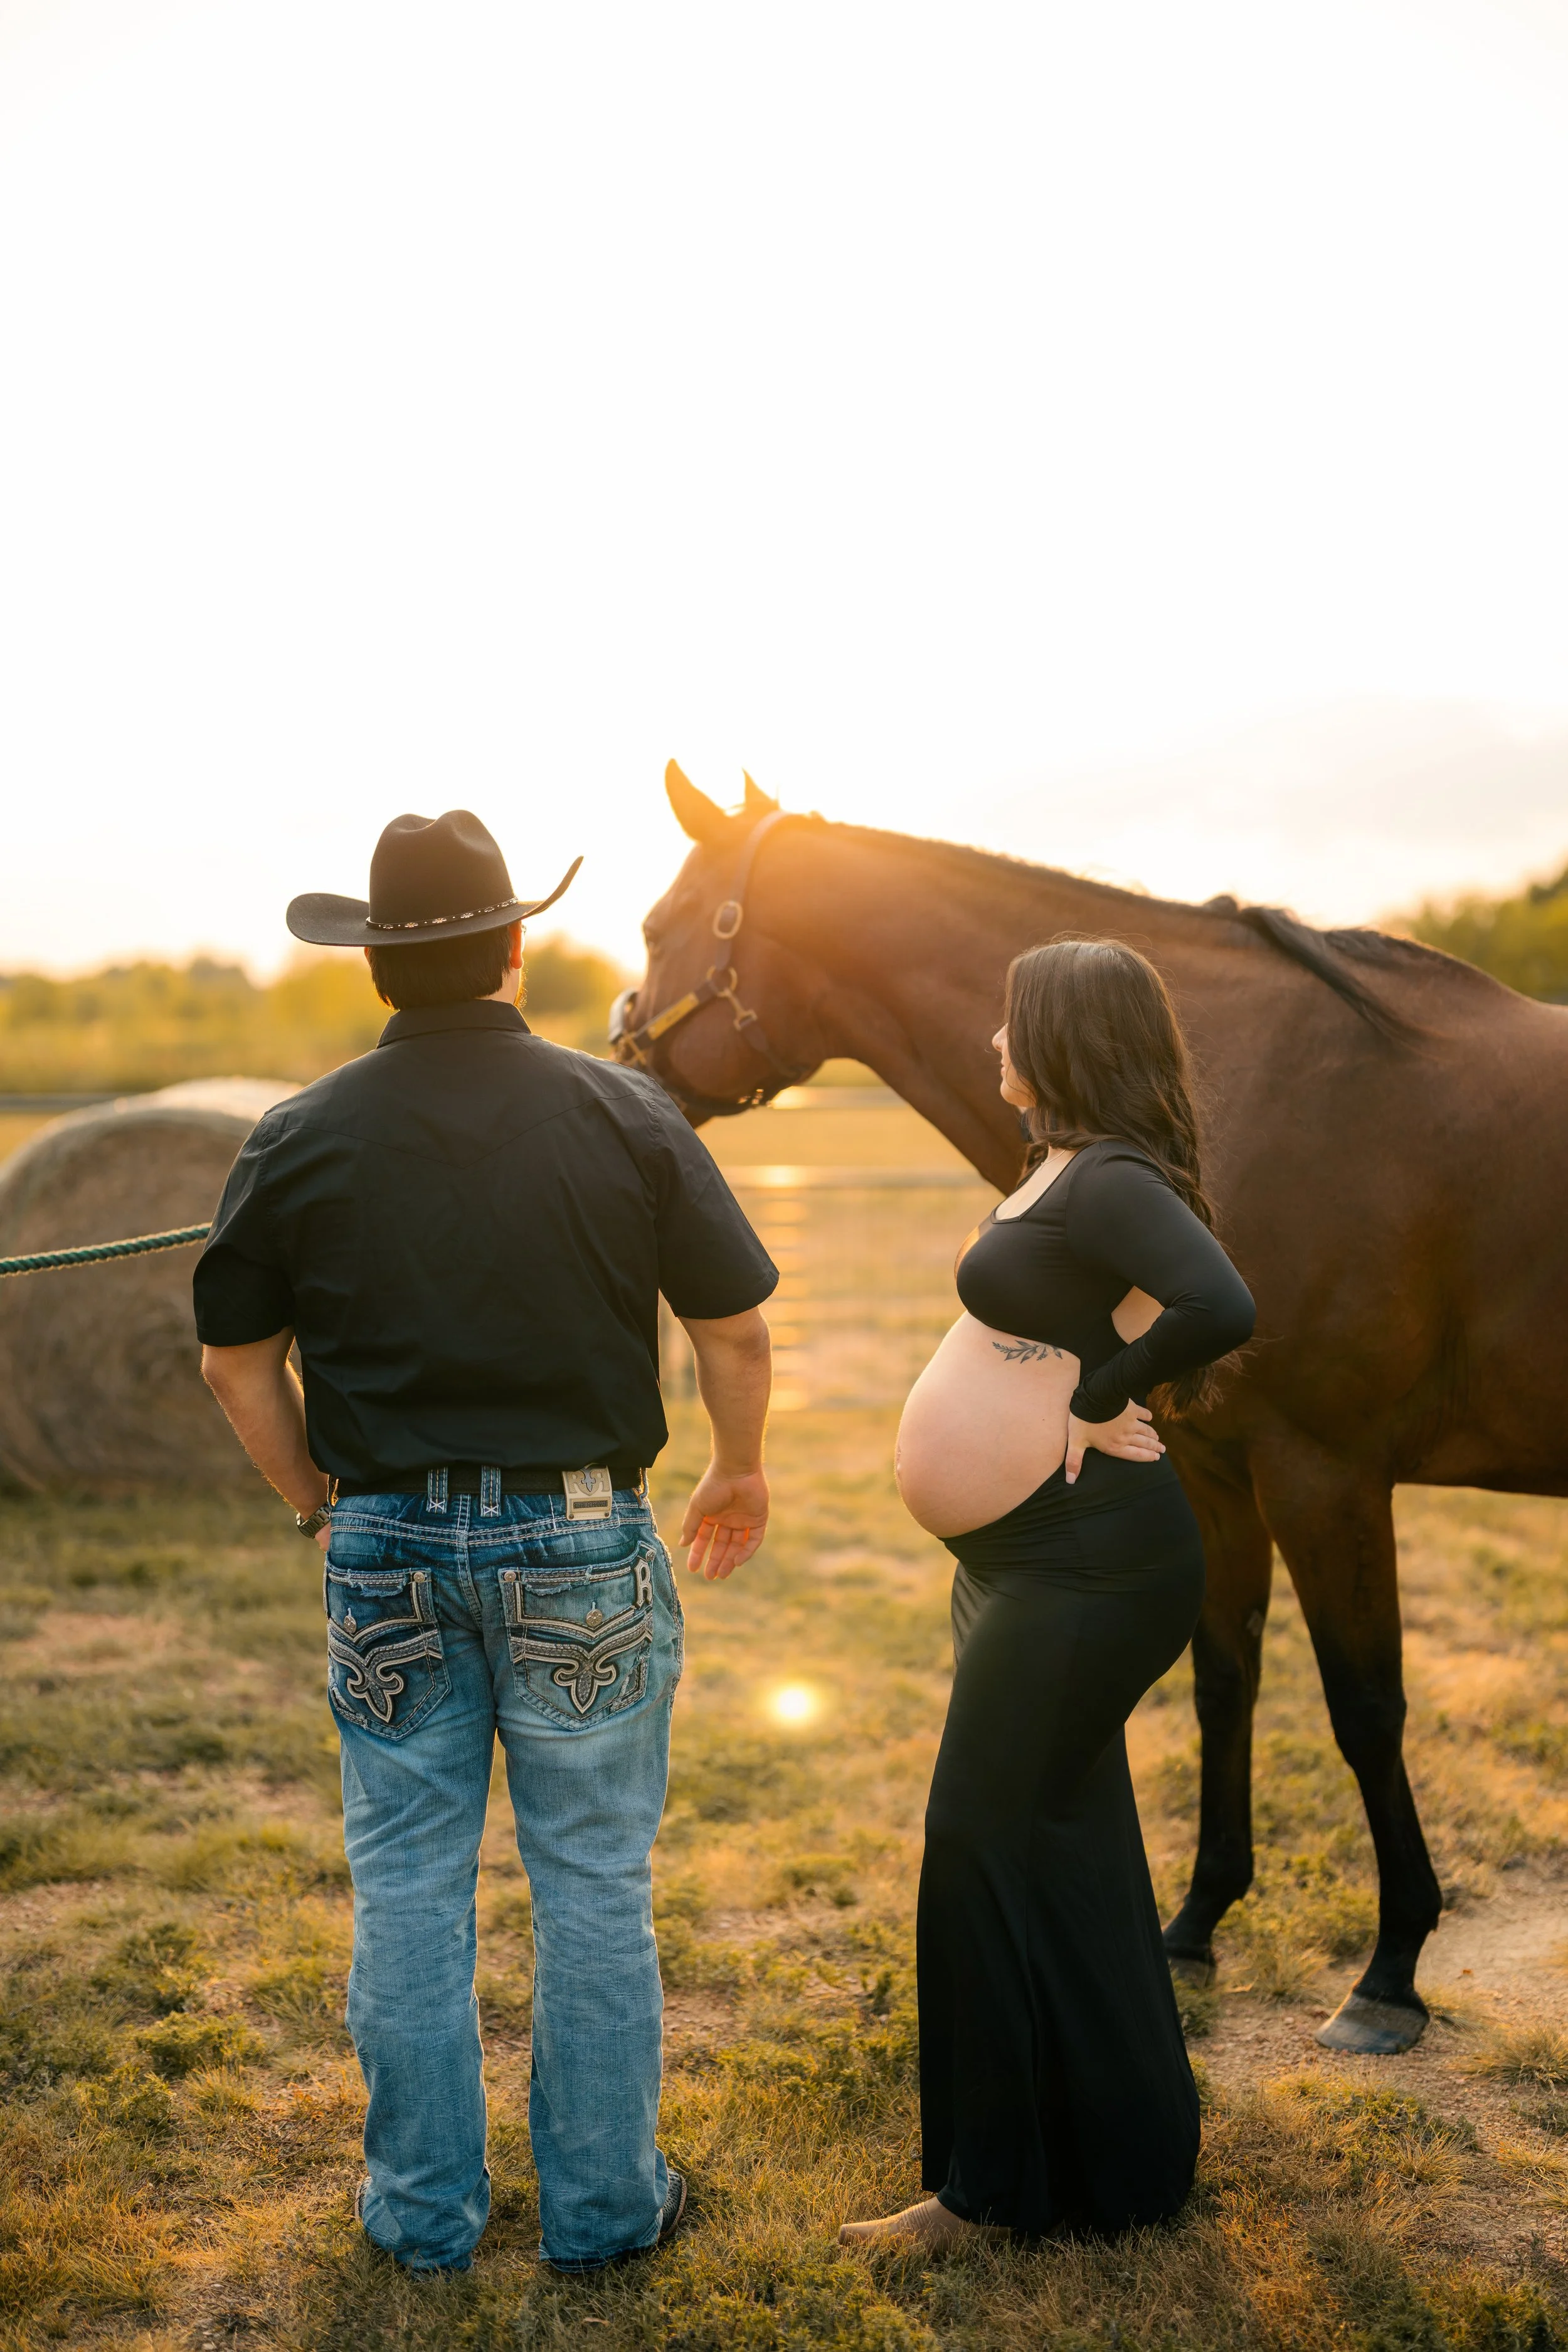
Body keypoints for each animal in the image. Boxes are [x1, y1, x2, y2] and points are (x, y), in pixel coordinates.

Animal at [612, 760, 1568, 2055]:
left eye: (663, 927)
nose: (618, 1072)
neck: (1238, 1082)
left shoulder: (1327, 1474)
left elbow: (1366, 1708)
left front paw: (1391, 1974)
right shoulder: (1215, 1467)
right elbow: (1223, 1682)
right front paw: (1198, 1921)